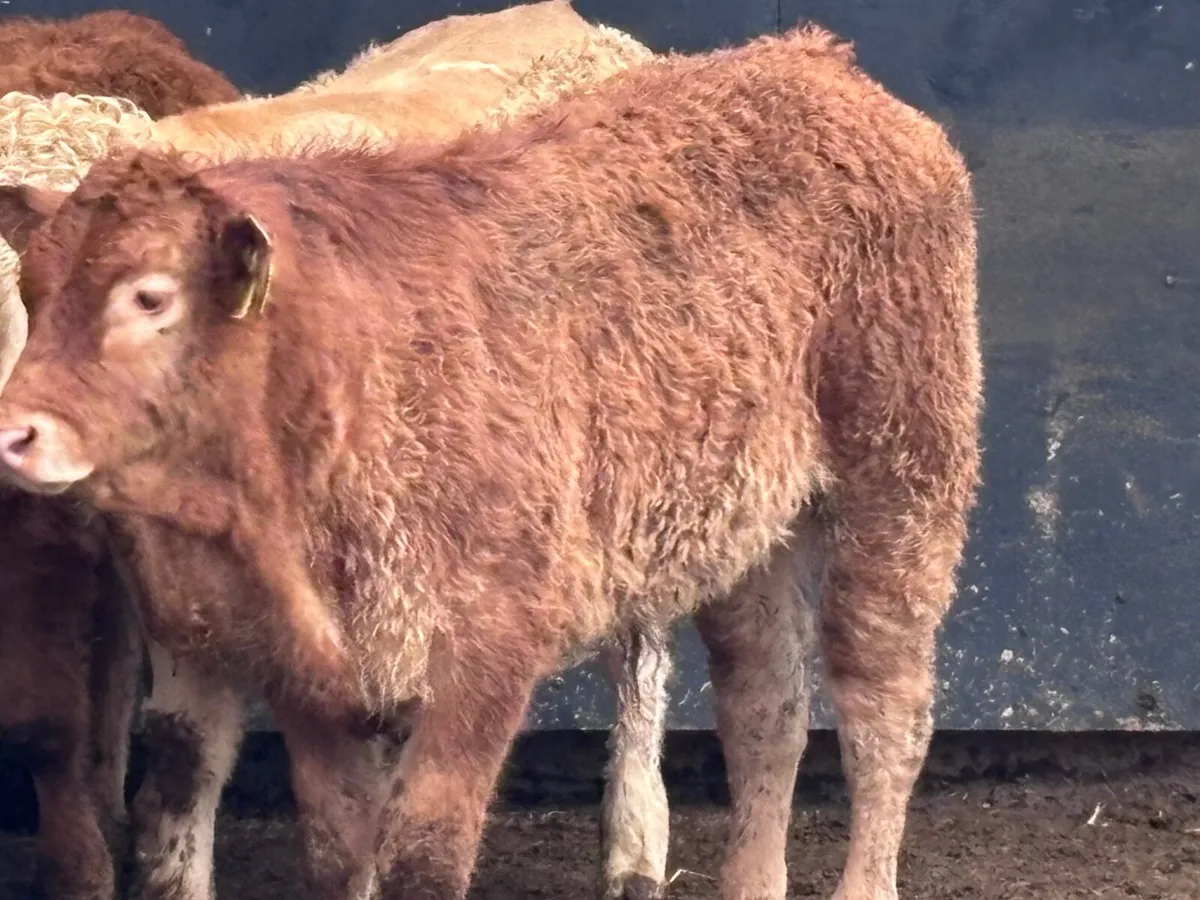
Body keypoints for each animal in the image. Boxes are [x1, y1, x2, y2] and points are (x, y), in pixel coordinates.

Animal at [0, 22, 982, 900]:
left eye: (149, 297)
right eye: (35, 290)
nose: (17, 429)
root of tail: (813, 59)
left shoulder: (484, 647)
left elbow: (424, 853)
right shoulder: (294, 661)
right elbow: (323, 845)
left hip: (903, 477)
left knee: (880, 703)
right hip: (744, 525)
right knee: (765, 707)